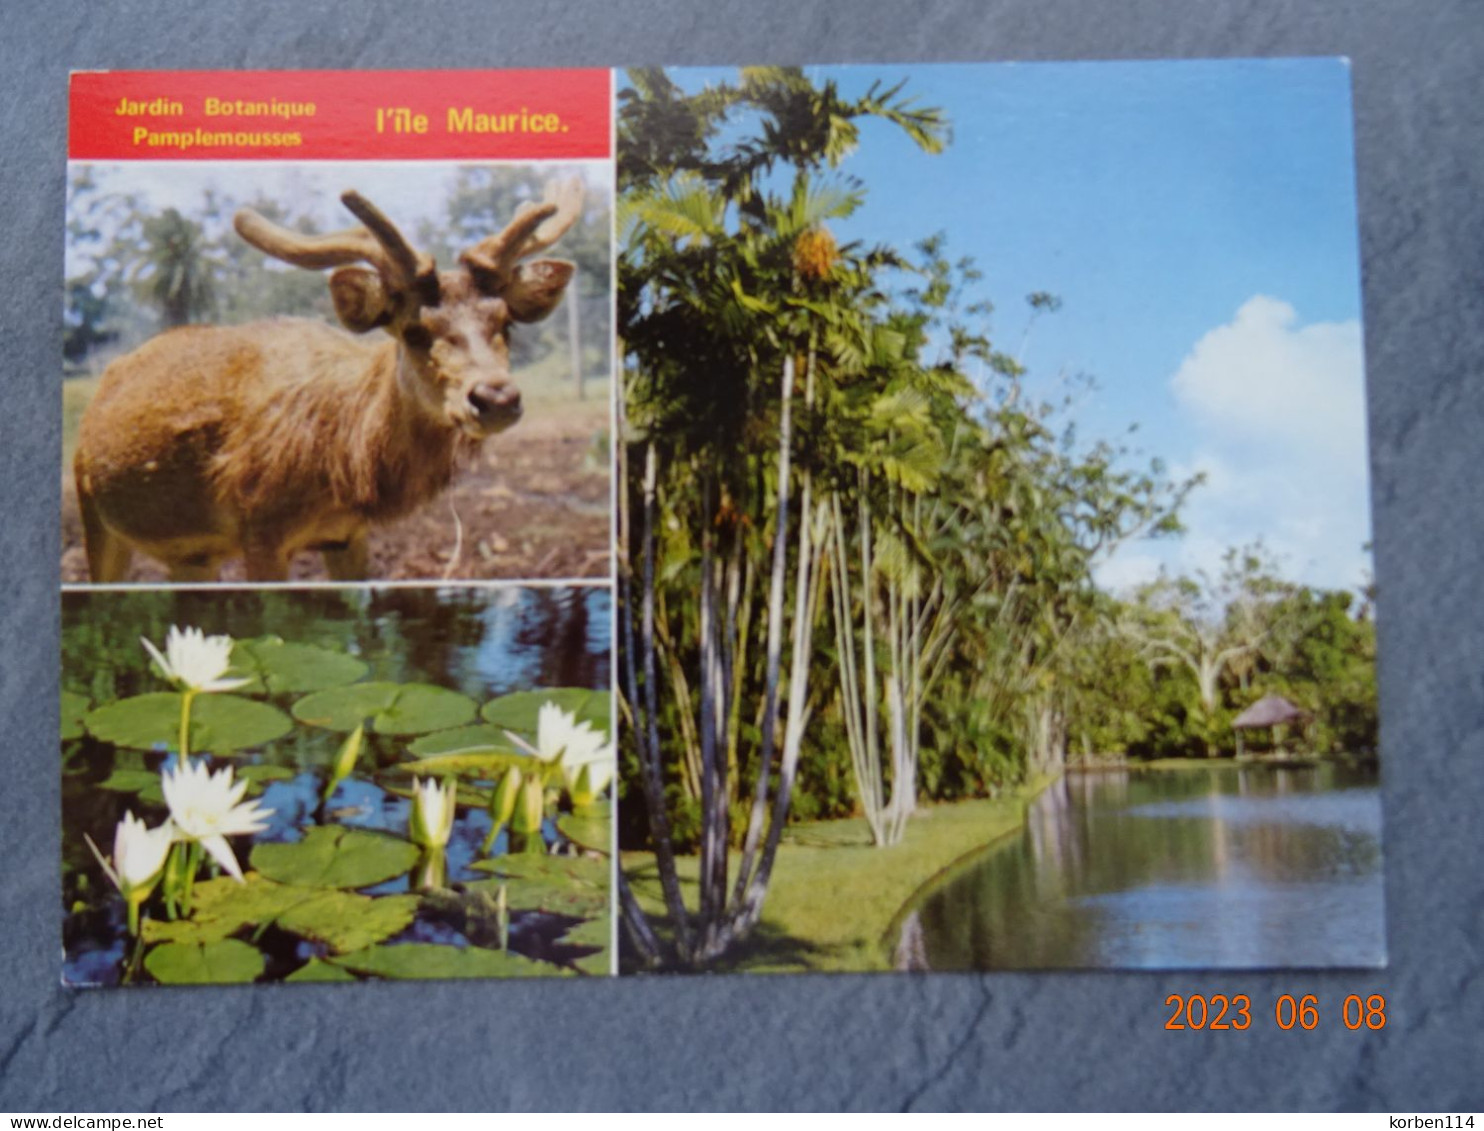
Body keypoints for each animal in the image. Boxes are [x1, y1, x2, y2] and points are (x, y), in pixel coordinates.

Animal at [73, 178, 584, 581]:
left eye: (506, 323)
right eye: (414, 330)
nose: (495, 397)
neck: (345, 460)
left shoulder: (348, 536)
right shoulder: (260, 527)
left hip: (192, 555)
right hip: (92, 514)